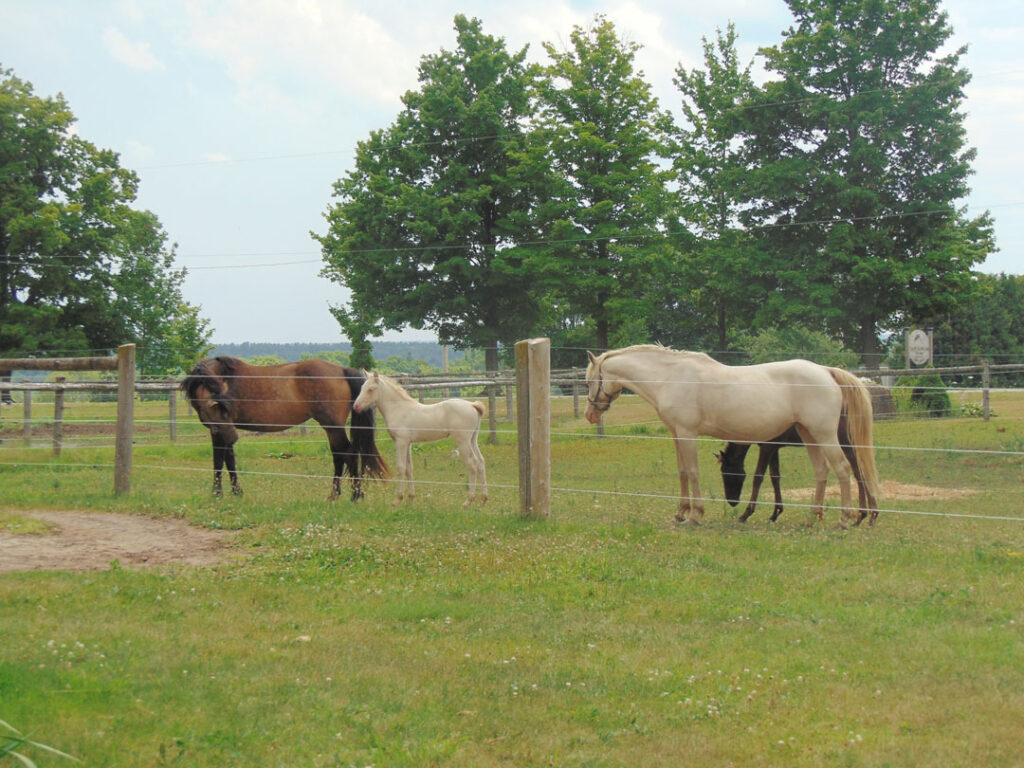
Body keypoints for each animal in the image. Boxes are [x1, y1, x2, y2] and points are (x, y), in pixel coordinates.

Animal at [180, 358, 387, 501]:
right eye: (218, 406)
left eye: (224, 406)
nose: (233, 437)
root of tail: (341, 371)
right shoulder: (222, 431)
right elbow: (229, 460)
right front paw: (236, 492)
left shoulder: (218, 431)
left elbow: (218, 460)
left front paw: (217, 493)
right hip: (331, 428)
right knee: (340, 455)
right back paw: (341, 495)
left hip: (332, 426)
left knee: (347, 454)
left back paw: (351, 495)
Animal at [352, 370, 487, 507]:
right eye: (362, 388)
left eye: (371, 389)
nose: (356, 407)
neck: (398, 408)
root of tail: (472, 405)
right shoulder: (408, 443)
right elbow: (409, 468)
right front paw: (410, 498)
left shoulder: (401, 442)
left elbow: (401, 467)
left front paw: (398, 500)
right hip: (472, 440)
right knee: (480, 462)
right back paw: (483, 499)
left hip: (463, 441)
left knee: (472, 464)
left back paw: (468, 501)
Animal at [716, 423, 876, 528]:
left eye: (727, 473)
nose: (732, 502)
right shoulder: (774, 449)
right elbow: (775, 477)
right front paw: (776, 513)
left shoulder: (767, 447)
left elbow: (758, 477)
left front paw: (746, 514)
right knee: (860, 472)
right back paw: (867, 515)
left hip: (844, 443)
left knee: (859, 473)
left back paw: (865, 514)